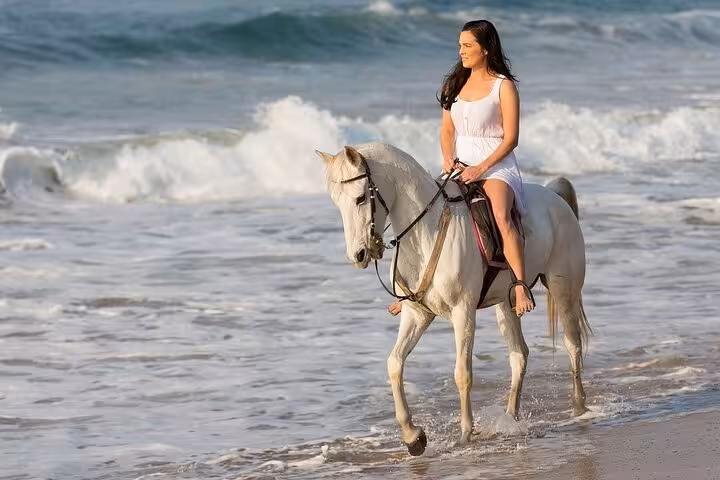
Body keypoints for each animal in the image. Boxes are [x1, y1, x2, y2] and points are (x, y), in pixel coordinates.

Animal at [316, 142, 591, 456]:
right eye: (337, 203)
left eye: (361, 198)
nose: (358, 255)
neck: (426, 232)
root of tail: (556, 198)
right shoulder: (417, 314)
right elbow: (394, 364)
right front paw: (413, 436)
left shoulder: (463, 311)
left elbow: (463, 373)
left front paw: (465, 434)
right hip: (505, 304)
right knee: (519, 355)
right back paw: (510, 418)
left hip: (563, 291)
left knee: (572, 345)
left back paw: (579, 409)